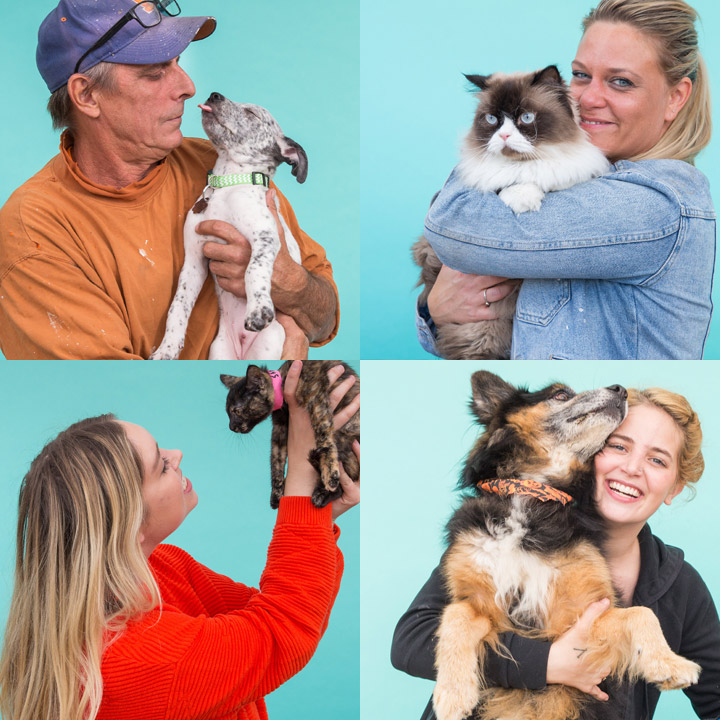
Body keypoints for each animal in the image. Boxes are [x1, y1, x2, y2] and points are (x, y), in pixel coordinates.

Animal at [150, 93, 308, 360]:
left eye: (252, 114)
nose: (214, 95)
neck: (228, 183)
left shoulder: (265, 237)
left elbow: (253, 269)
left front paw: (258, 310)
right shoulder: (194, 261)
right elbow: (178, 305)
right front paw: (167, 348)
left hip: (270, 344)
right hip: (219, 351)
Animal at [219, 358, 360, 506]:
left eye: (237, 411)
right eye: (228, 412)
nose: (231, 426)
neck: (284, 381)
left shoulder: (317, 399)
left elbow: (324, 433)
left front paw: (331, 472)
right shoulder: (279, 426)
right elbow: (276, 457)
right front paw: (276, 493)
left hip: (345, 434)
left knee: (343, 483)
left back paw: (322, 492)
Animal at [414, 64, 612, 360]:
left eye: (526, 117)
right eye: (492, 119)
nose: (505, 136)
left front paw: (528, 194)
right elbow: (509, 183)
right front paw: (521, 198)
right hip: (483, 330)